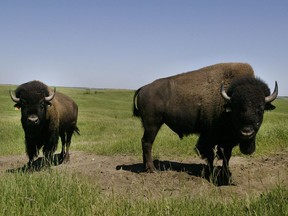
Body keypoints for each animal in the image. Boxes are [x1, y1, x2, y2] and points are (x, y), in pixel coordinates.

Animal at [134, 62, 278, 184]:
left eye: (261, 109)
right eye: (237, 108)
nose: (247, 132)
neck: (226, 102)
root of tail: (143, 88)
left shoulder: (228, 141)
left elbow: (226, 156)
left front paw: (225, 174)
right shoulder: (209, 137)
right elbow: (209, 155)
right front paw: (211, 174)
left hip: (149, 126)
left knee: (144, 142)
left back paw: (145, 167)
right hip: (153, 125)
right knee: (147, 143)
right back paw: (153, 169)